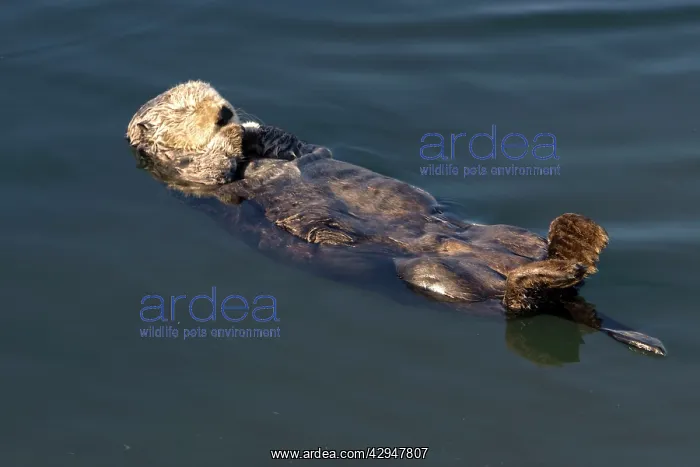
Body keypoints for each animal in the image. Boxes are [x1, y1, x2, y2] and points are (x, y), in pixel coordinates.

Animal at [126, 81, 666, 357]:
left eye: (213, 94)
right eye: (184, 108)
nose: (224, 110)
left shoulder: (288, 146)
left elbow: (290, 142)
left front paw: (253, 124)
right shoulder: (183, 173)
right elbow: (209, 167)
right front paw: (232, 134)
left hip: (503, 237)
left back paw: (578, 242)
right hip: (434, 277)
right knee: (517, 303)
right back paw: (566, 257)